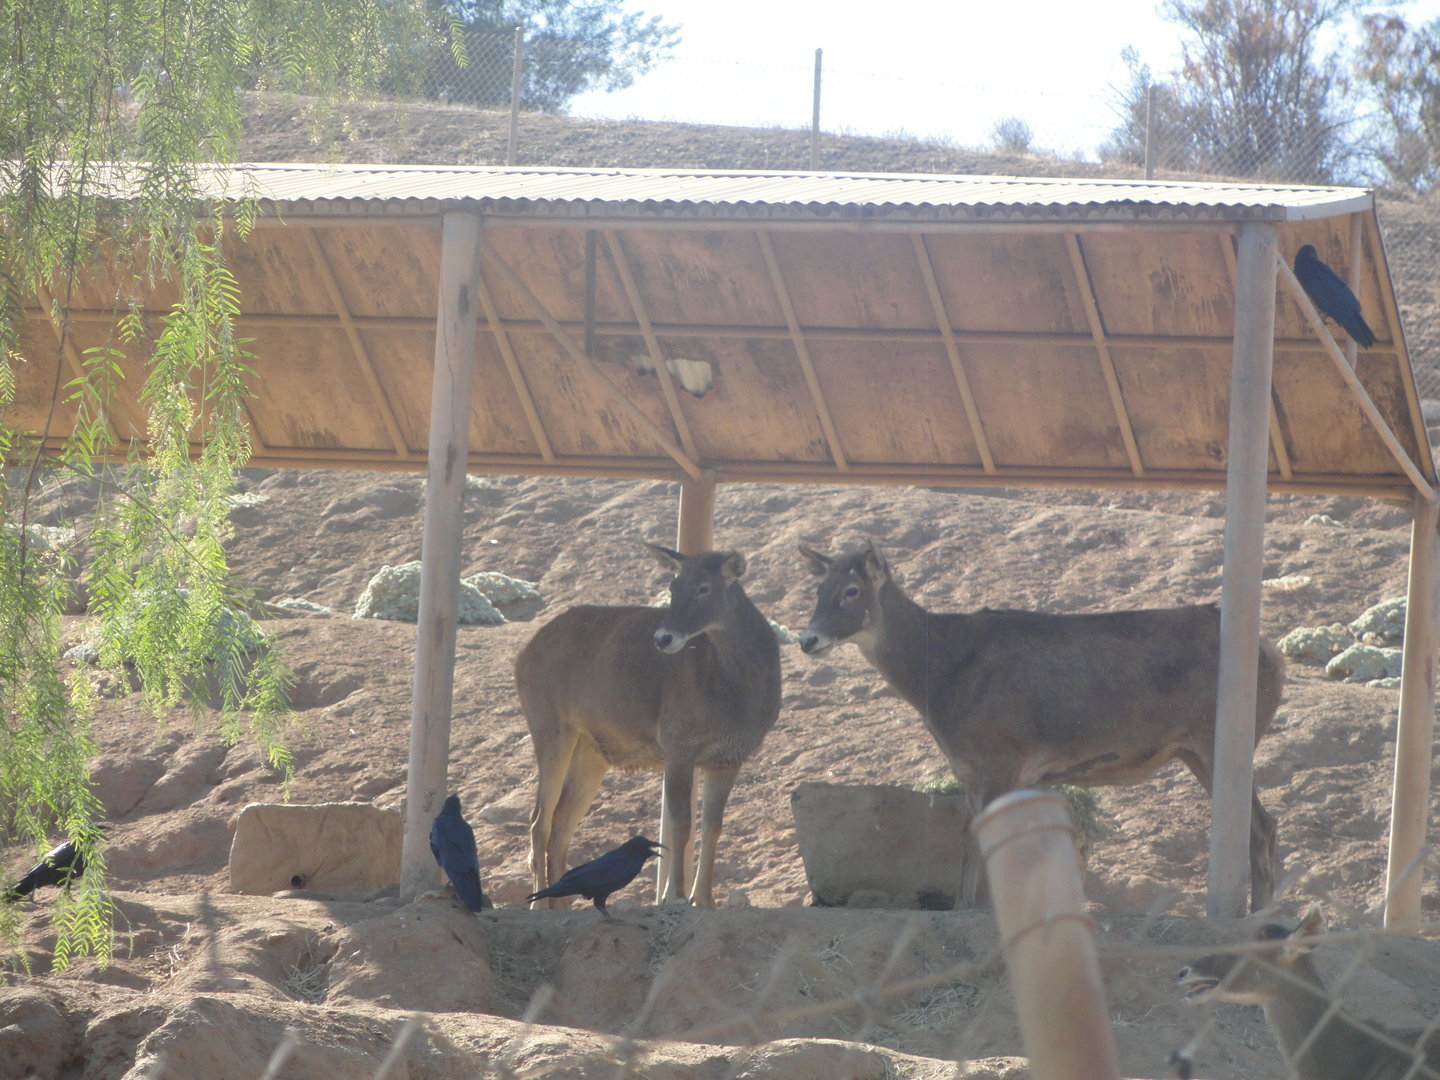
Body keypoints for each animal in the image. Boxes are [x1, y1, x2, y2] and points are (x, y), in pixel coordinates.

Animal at [515, 542, 782, 909]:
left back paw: (561, 904)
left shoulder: (729, 757)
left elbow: (713, 826)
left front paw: (706, 899)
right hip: (549, 724)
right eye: (672, 586)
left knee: (560, 823)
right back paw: (538, 904)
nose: (663, 638)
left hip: (591, 752)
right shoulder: (677, 740)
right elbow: (680, 823)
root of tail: (521, 656)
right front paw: (676, 896)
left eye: (703, 588)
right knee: (538, 820)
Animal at [797, 541, 1284, 912]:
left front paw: (982, 910)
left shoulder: (1004, 751)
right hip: (1196, 748)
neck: (941, 682)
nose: (807, 639)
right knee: (1262, 823)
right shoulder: (973, 768)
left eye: (852, 591)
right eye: (818, 589)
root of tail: (1273, 658)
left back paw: (1259, 916)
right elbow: (971, 838)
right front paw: (965, 906)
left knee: (1261, 824)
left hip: (1219, 737)